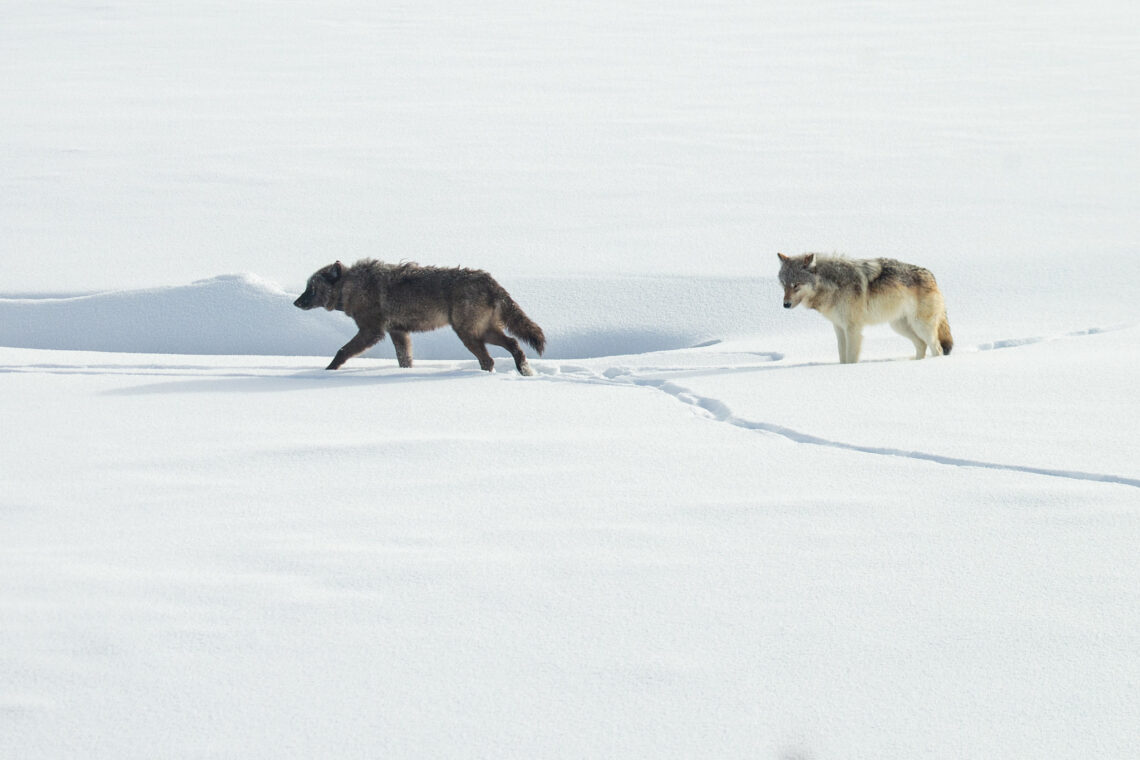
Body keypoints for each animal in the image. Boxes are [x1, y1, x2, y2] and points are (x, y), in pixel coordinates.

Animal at [294, 259, 545, 374]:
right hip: (483, 331)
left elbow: (342, 351)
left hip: (469, 334)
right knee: (513, 344)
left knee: (489, 359)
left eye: (311, 289)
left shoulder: (371, 332)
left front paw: (327, 372)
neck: (352, 286)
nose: (295, 302)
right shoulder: (398, 332)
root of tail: (491, 281)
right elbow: (405, 359)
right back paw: (524, 371)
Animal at [777, 252, 952, 363]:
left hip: (921, 326)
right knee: (921, 345)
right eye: (784, 284)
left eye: (796, 285)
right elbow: (842, 356)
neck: (833, 284)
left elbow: (851, 358)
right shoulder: (839, 328)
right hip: (899, 326)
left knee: (937, 348)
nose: (785, 305)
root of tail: (931, 276)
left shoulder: (853, 329)